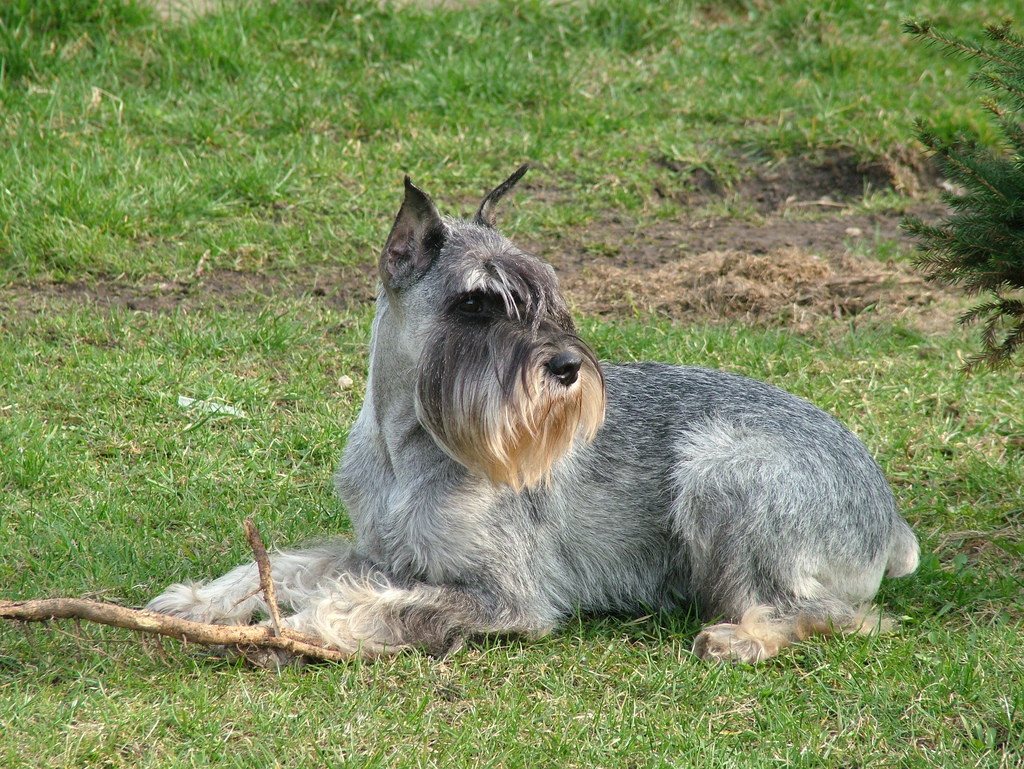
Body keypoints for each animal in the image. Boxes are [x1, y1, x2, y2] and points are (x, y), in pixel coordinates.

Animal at [148, 166, 925, 663]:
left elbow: (391, 604)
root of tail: (890, 517)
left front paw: (311, 625)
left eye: (549, 294)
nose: (567, 368)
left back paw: (742, 638)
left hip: (723, 473)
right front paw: (198, 600)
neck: (410, 448)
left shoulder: (507, 596)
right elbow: (291, 560)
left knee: (837, 615)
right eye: (475, 303)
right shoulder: (382, 550)